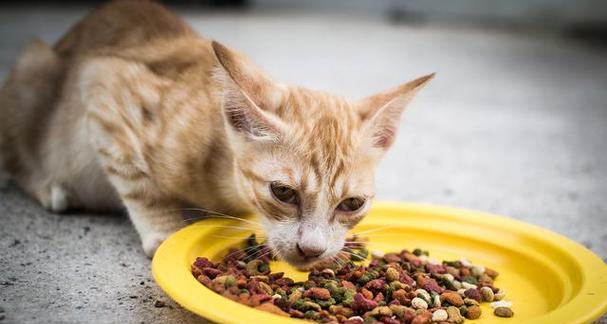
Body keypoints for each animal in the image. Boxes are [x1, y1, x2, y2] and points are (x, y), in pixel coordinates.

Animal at [0, 1, 432, 268]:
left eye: (352, 204)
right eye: (283, 192)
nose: (312, 250)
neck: (221, 179)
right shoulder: (103, 82)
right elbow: (139, 183)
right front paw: (165, 231)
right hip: (33, 70)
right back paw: (51, 187)